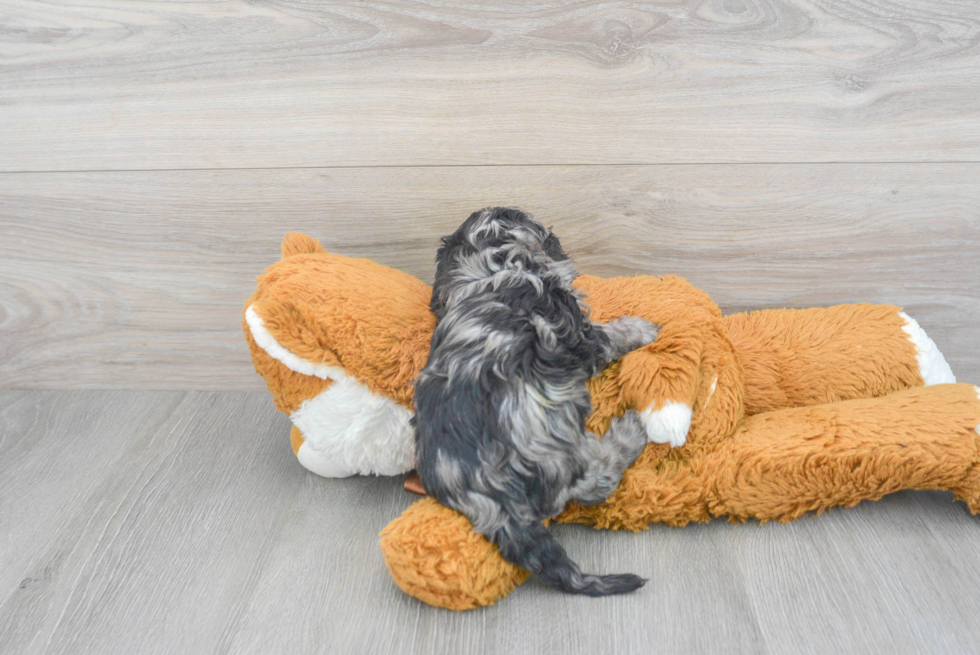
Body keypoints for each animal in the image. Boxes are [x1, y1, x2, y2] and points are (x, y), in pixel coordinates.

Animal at [414, 208, 660, 596]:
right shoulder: (578, 332)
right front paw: (640, 329)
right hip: (559, 436)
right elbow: (608, 336)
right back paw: (628, 434)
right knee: (595, 483)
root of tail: (489, 497)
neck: (490, 265)